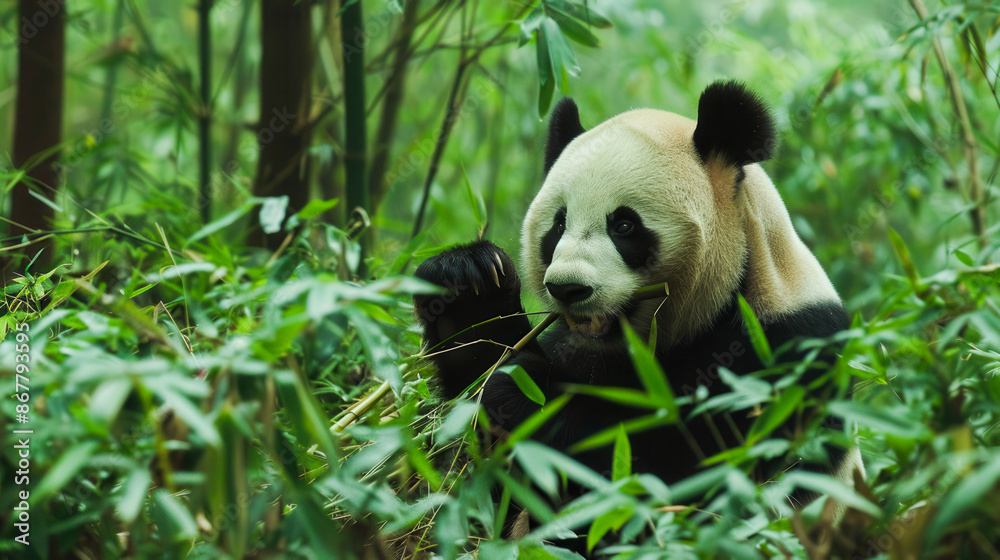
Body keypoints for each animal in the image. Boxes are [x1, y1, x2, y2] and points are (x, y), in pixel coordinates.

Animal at [414, 80, 858, 506]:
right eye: (558, 225)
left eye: (624, 225)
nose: (568, 288)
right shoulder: (572, 347)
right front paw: (466, 286)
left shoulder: (784, 350)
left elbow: (680, 465)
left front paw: (527, 391)